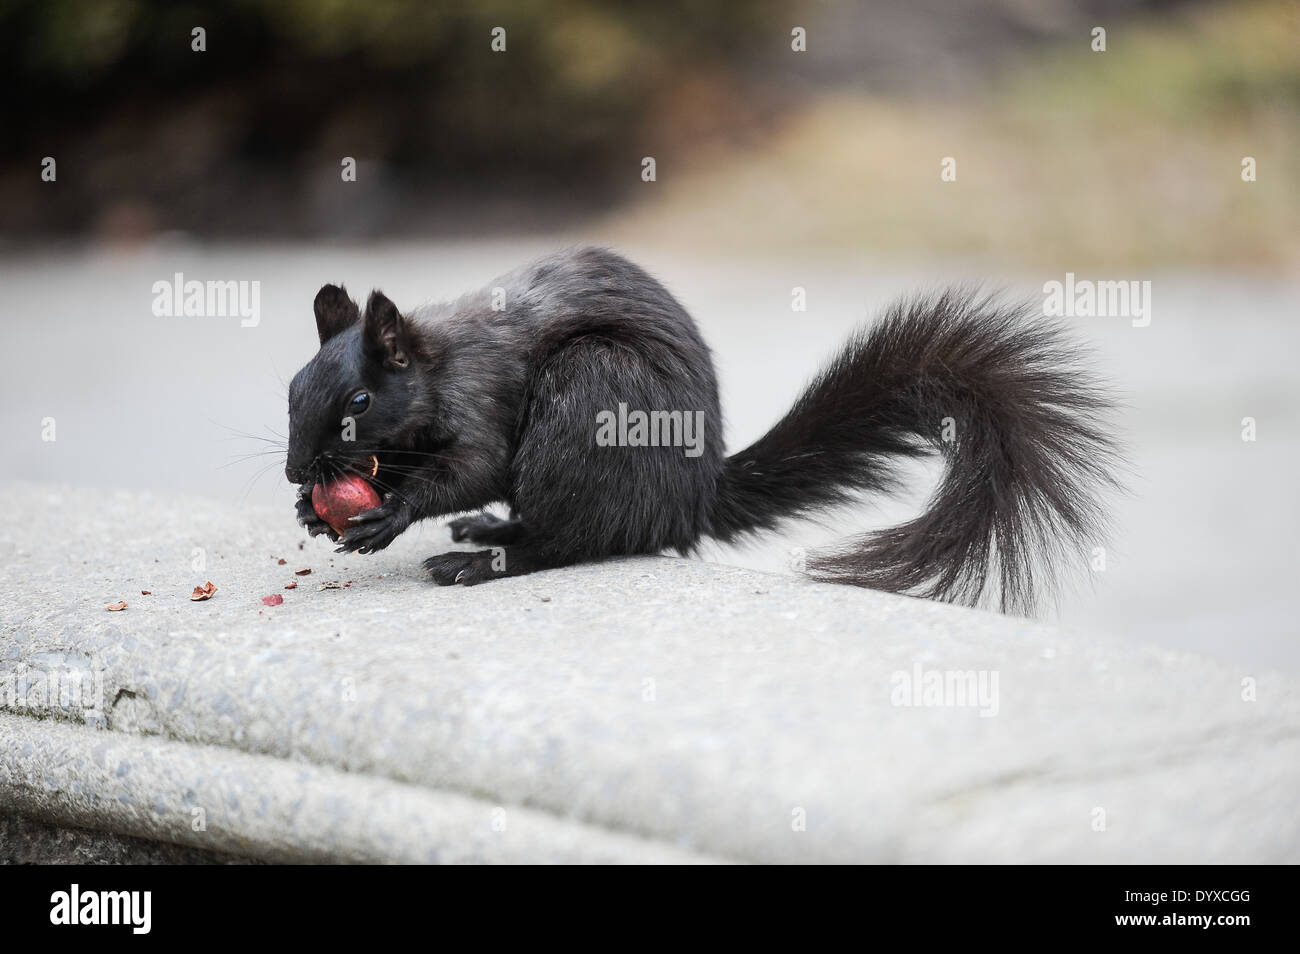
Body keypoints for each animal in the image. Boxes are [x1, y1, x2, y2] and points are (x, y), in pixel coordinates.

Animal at [287, 248, 1118, 613]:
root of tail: (691, 500)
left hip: (592, 400)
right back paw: (489, 533)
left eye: (359, 399)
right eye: (292, 388)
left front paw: (389, 514)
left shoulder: (482, 399)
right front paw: (316, 511)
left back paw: (484, 561)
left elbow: (473, 467)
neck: (438, 360)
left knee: (568, 541)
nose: (297, 471)